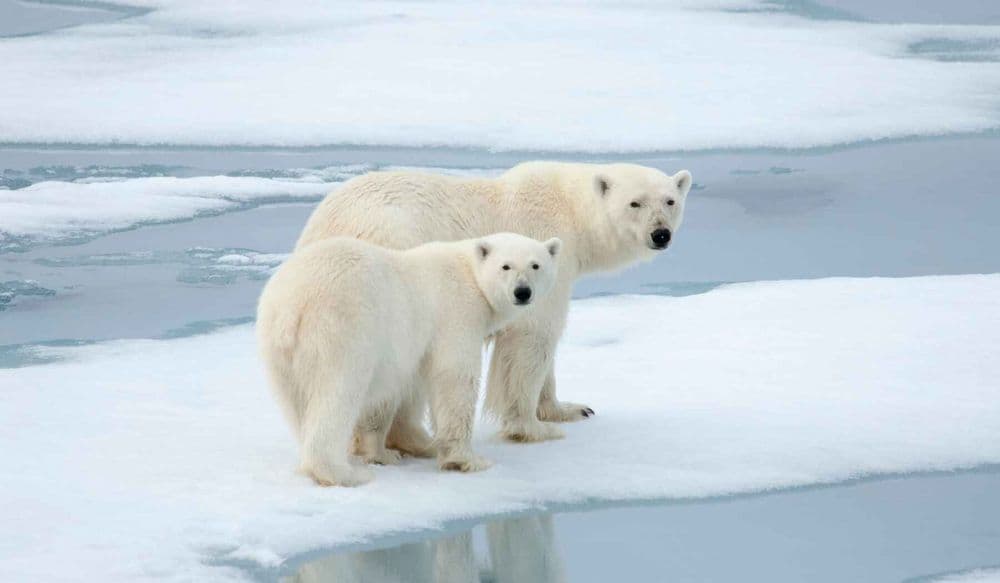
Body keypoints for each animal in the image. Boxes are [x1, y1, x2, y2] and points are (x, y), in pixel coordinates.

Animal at [256, 232, 562, 486]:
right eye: (506, 266)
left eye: (535, 265)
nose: (522, 292)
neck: (469, 272)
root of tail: (292, 306)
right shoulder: (457, 312)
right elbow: (455, 378)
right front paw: (467, 459)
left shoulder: (407, 349)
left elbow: (395, 391)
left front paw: (388, 452)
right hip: (340, 330)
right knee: (338, 394)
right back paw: (345, 473)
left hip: (276, 348)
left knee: (297, 403)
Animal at [296, 162, 692, 446]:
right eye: (635, 202)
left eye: (670, 201)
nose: (660, 234)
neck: (570, 210)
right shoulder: (539, 249)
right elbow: (533, 336)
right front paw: (531, 427)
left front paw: (569, 409)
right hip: (393, 249)